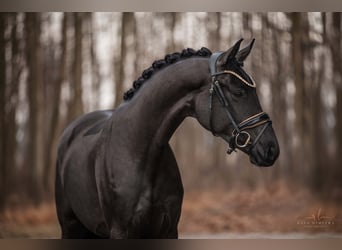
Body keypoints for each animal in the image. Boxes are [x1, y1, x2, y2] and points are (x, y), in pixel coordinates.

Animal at [56, 39, 280, 238]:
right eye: (239, 92)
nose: (272, 149)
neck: (138, 152)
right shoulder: (120, 231)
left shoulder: (169, 229)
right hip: (70, 226)